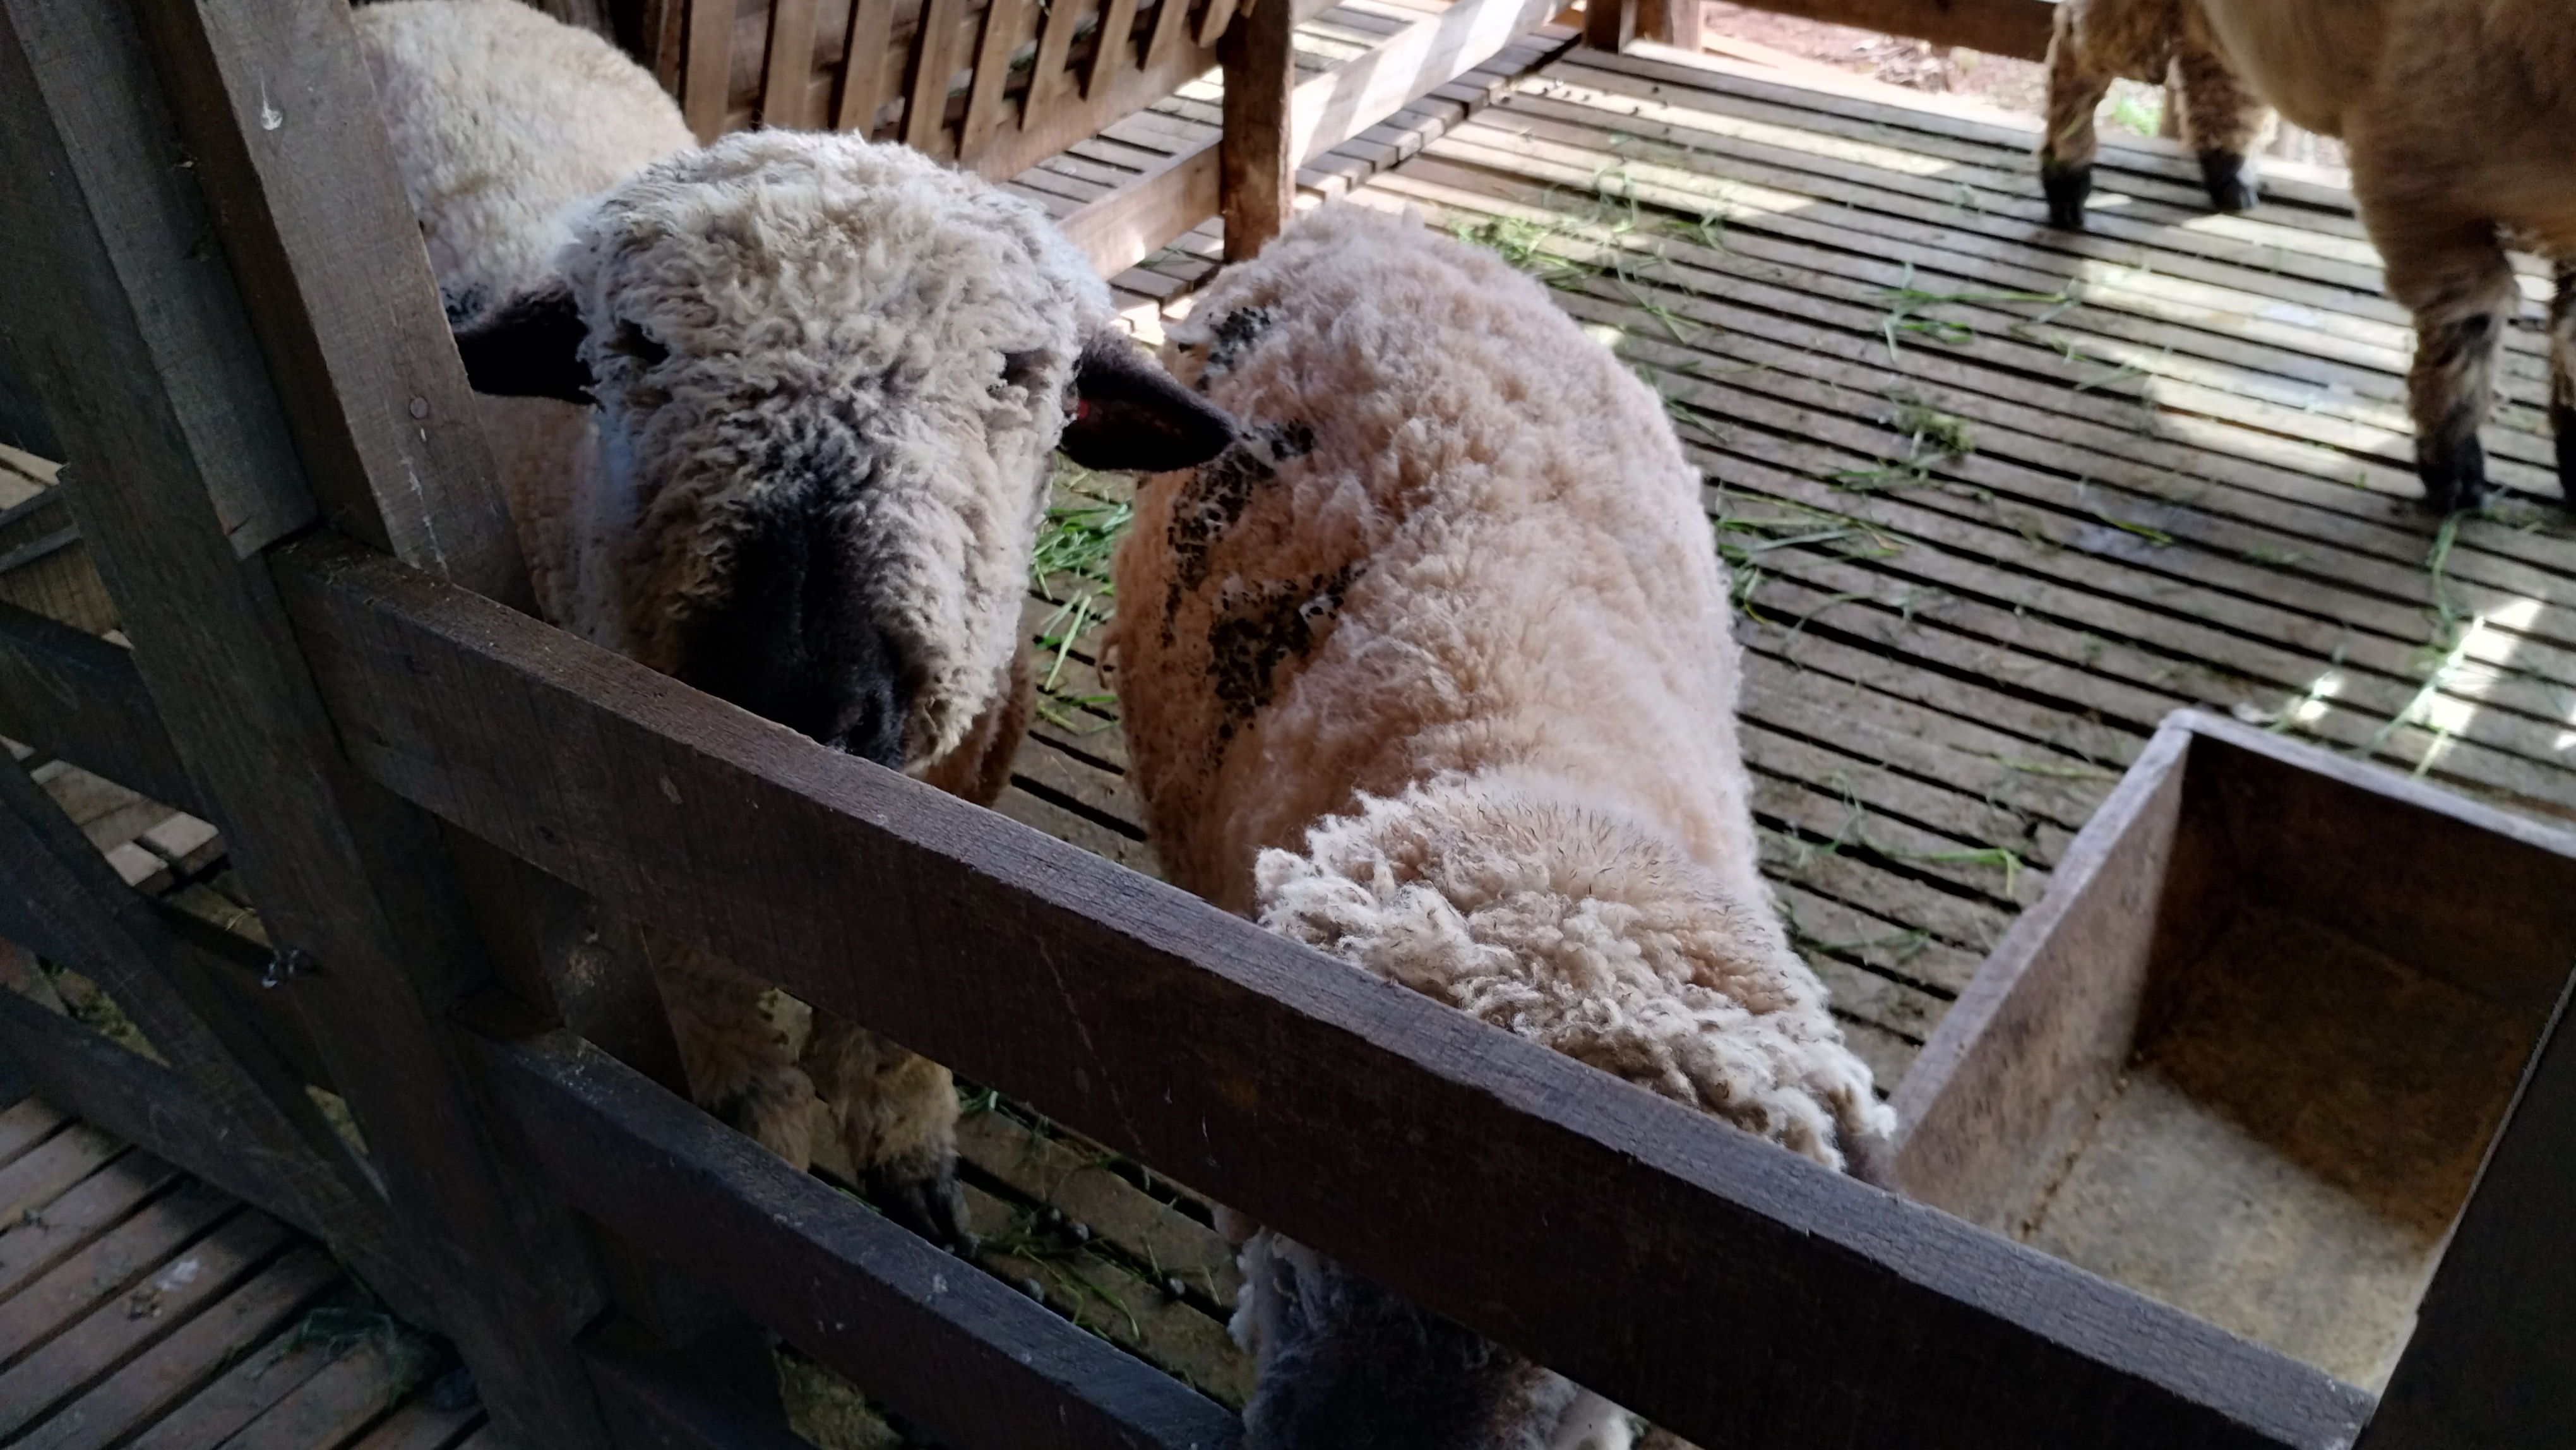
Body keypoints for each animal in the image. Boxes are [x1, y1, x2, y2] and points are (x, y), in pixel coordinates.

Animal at [356, 0, 1233, 1246]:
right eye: (636, 344)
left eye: (1020, 372)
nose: (798, 689)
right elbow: (708, 996)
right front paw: (751, 1134)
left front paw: (909, 1150)